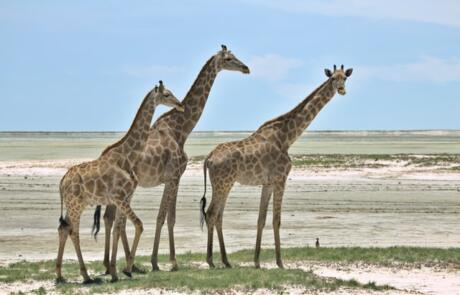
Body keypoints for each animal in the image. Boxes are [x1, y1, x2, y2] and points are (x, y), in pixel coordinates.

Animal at [57, 81, 185, 284]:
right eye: (166, 94)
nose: (180, 105)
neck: (127, 157)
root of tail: (62, 182)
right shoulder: (120, 197)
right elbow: (138, 225)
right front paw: (126, 269)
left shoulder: (121, 198)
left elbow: (118, 228)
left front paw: (116, 271)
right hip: (75, 205)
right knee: (73, 232)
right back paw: (85, 276)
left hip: (75, 205)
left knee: (64, 229)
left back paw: (60, 275)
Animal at [94, 45, 252, 274]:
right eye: (229, 58)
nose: (246, 68)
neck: (181, 129)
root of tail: (102, 155)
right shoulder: (174, 176)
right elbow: (166, 217)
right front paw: (165, 262)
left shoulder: (172, 178)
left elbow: (167, 216)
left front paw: (159, 261)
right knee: (112, 218)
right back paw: (120, 264)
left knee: (109, 217)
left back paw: (116, 264)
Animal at [199, 66, 354, 270]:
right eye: (333, 78)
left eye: (345, 78)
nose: (342, 90)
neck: (287, 138)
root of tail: (208, 158)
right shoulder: (281, 179)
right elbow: (276, 220)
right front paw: (280, 262)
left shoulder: (268, 183)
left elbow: (261, 219)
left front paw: (257, 261)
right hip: (222, 183)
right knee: (211, 214)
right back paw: (210, 261)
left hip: (225, 184)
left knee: (218, 216)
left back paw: (226, 260)